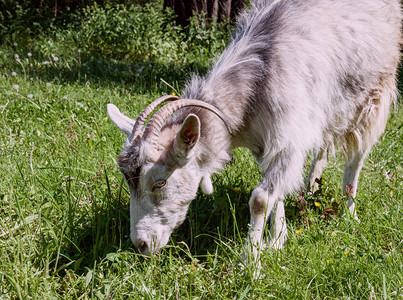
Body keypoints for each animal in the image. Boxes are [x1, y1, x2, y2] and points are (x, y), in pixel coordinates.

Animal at [105, 0, 402, 262]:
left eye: (160, 182)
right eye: (128, 182)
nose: (141, 244)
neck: (257, 81)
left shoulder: (288, 140)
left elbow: (260, 199)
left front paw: (252, 260)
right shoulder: (269, 142)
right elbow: (276, 191)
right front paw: (277, 241)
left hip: (374, 95)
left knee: (357, 157)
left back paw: (349, 212)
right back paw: (312, 185)